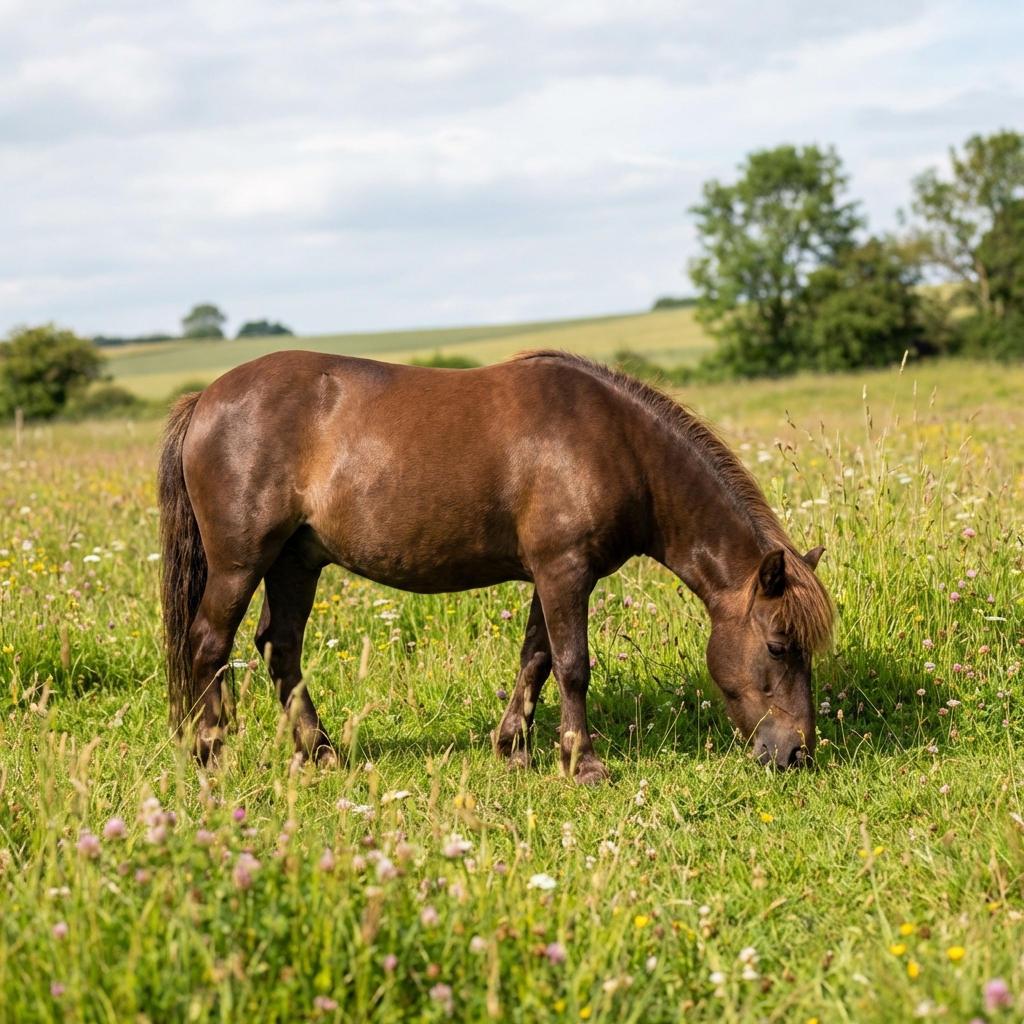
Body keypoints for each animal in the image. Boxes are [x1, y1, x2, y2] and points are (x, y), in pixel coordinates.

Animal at [158, 349, 833, 782]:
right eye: (778, 647)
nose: (797, 754)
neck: (615, 444)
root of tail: (205, 398)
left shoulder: (551, 575)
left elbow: (536, 658)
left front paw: (514, 748)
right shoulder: (565, 572)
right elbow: (573, 665)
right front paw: (582, 763)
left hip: (296, 562)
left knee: (280, 649)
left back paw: (319, 753)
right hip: (241, 563)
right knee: (209, 643)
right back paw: (212, 754)